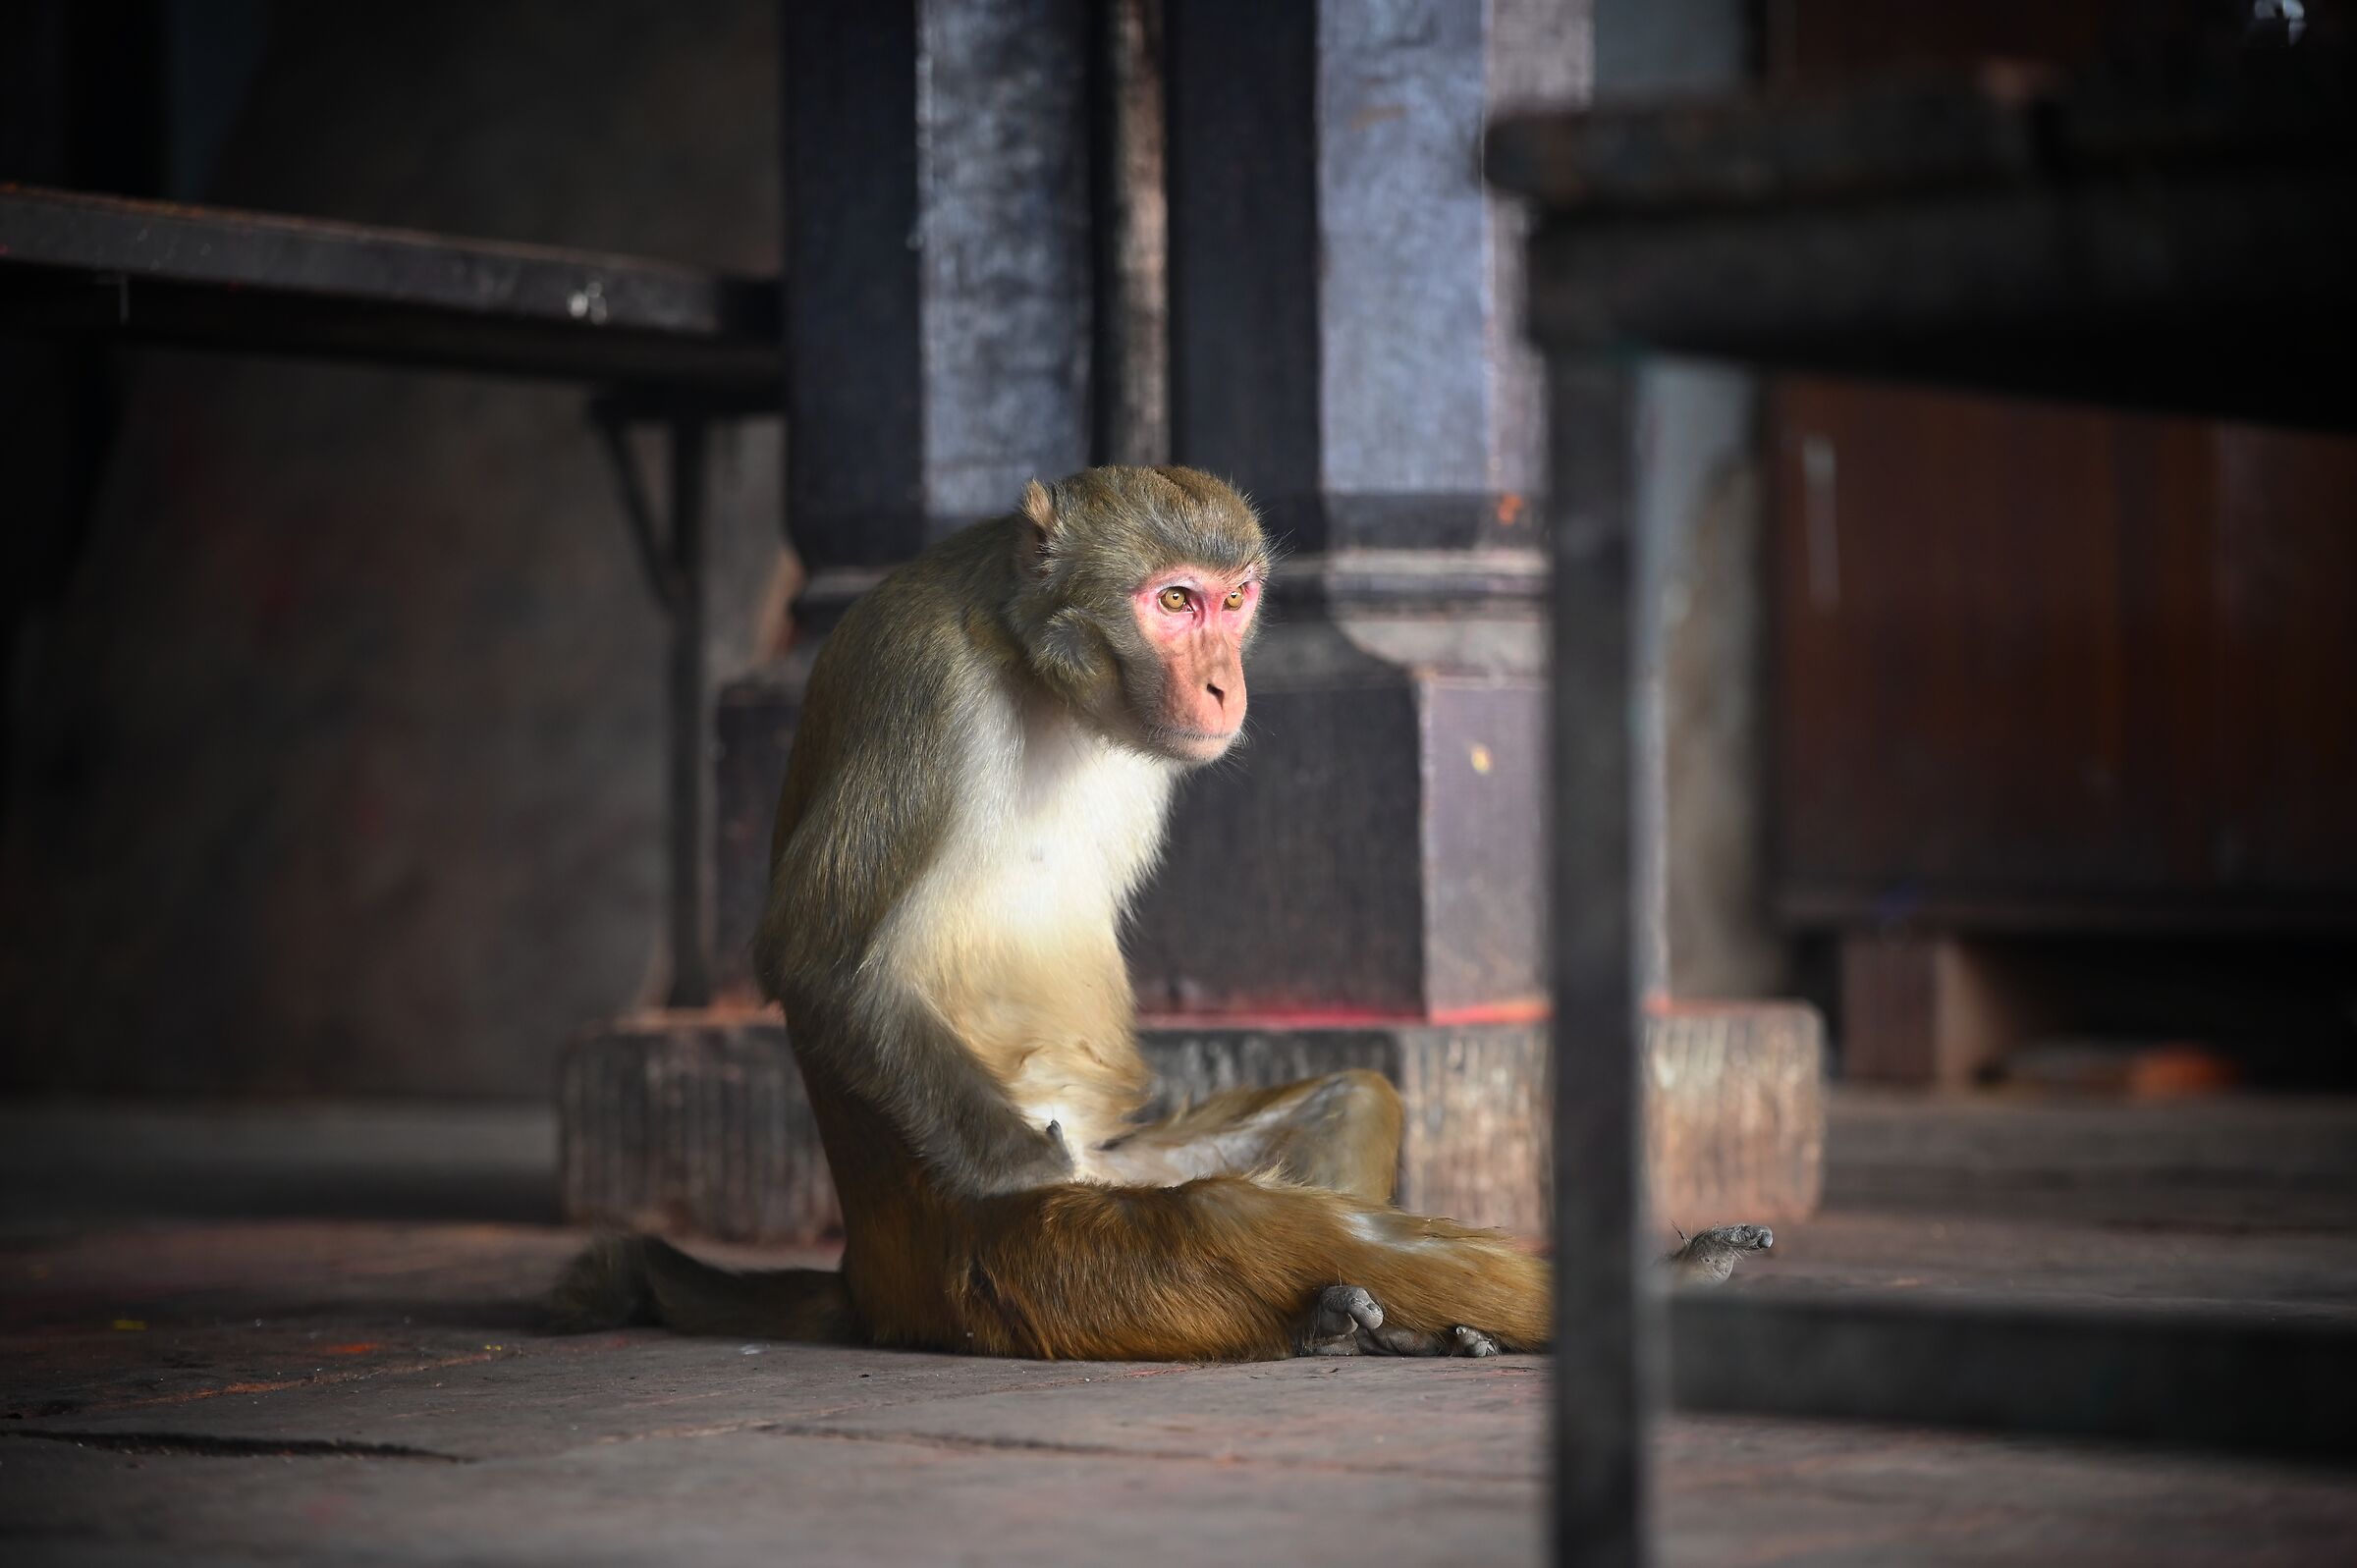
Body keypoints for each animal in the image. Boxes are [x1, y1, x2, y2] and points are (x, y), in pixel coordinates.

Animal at [553, 465, 1769, 1360]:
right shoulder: (920, 683)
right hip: (990, 1275)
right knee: (1214, 1219)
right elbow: (816, 954)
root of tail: (866, 1272)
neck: (1024, 652)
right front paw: (1026, 1168)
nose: (1226, 681)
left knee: (1349, 1100)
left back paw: (1356, 1321)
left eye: (1234, 600)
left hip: (1120, 1163)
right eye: (1172, 601)